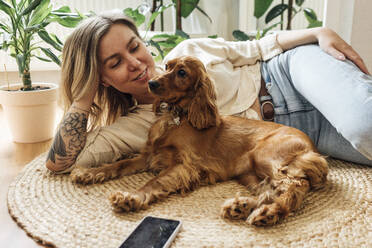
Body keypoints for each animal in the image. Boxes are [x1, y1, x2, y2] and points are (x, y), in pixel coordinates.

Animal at [72, 55, 328, 225]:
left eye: (182, 73)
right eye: (167, 66)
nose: (151, 83)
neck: (177, 117)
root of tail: (312, 147)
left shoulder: (186, 165)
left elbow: (153, 182)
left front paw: (131, 197)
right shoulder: (149, 155)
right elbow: (118, 164)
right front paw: (89, 173)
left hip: (265, 156)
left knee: (294, 186)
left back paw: (268, 213)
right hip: (249, 173)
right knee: (271, 190)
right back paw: (241, 206)